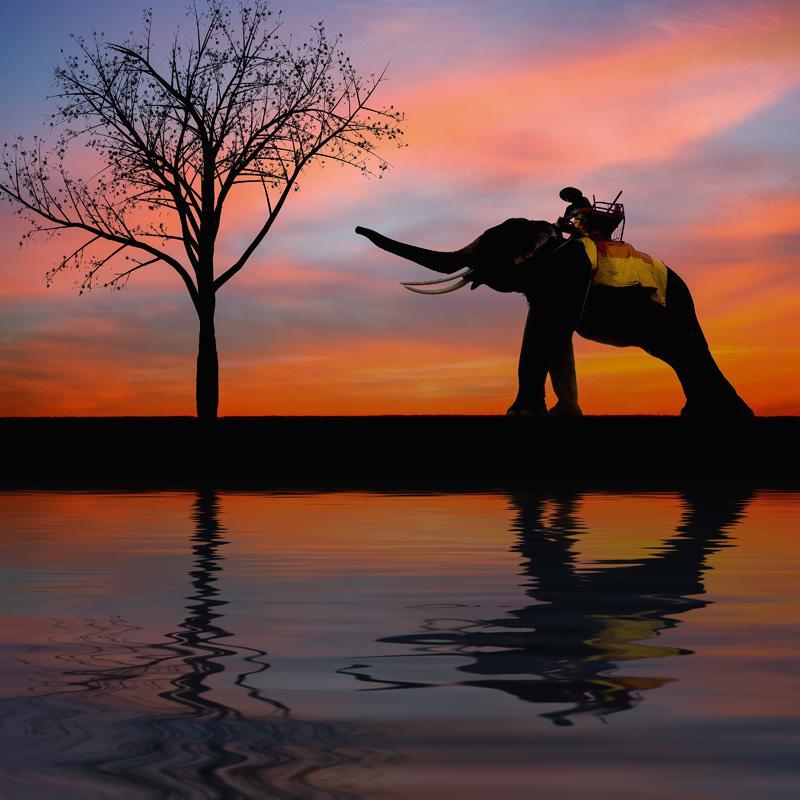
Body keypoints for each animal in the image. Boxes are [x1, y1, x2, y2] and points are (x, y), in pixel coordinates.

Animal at [355, 219, 754, 417]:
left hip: (674, 306)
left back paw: (726, 415)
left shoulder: (565, 278)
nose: (358, 230)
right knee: (677, 353)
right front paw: (563, 414)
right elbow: (548, 333)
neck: (549, 239)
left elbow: (544, 333)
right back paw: (706, 413)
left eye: (491, 245)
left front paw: (521, 415)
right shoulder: (544, 288)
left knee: (688, 349)